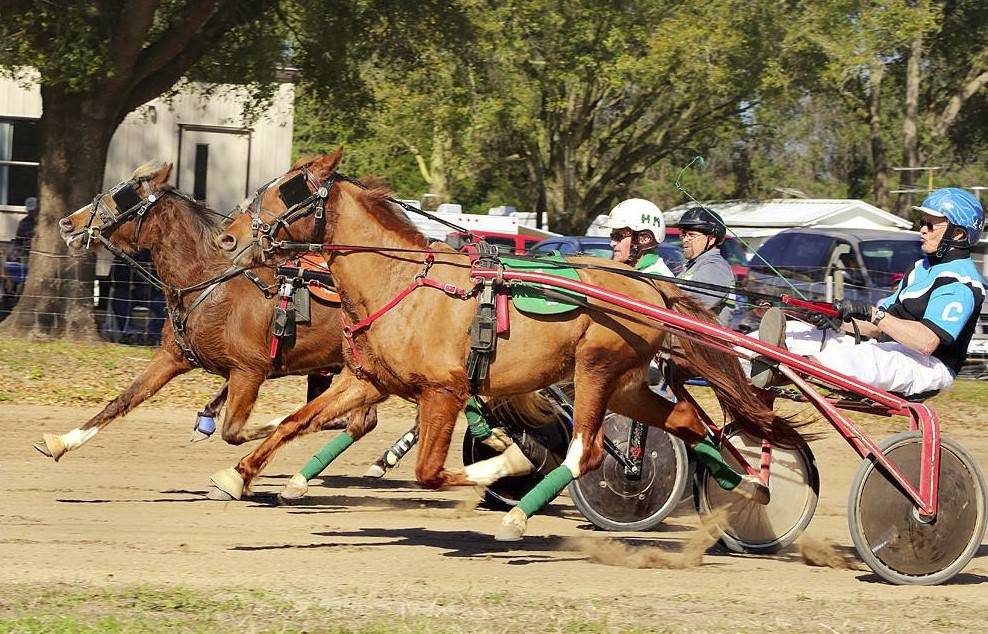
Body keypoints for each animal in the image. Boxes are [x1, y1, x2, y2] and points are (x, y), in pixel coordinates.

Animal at [46, 163, 380, 470]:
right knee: (363, 421)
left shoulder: (248, 372)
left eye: (123, 195)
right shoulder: (172, 357)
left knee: (361, 421)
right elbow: (125, 398)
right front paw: (62, 441)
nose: (67, 223)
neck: (208, 283)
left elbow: (235, 431)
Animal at [212, 148, 800, 540]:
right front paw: (236, 476)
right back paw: (744, 482)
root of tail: (649, 285)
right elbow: (296, 422)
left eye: (285, 190)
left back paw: (521, 514)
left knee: (587, 452)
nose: (226, 236)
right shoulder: (368, 382)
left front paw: (511, 460)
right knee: (684, 420)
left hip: (596, 371)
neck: (404, 283)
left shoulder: (444, 394)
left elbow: (430, 472)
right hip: (627, 384)